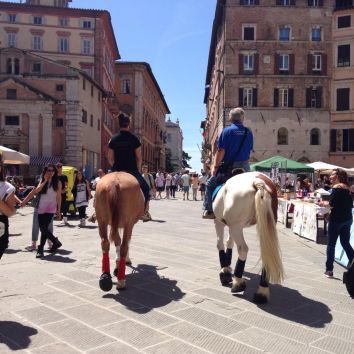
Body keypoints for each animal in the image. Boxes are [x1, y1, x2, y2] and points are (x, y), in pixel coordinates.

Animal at [213, 171, 284, 304]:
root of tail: (257, 181)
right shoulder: (230, 225)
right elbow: (229, 242)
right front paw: (228, 266)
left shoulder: (219, 222)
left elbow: (220, 244)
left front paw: (225, 271)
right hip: (265, 223)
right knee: (266, 253)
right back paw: (261, 292)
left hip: (236, 226)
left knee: (243, 249)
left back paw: (237, 283)